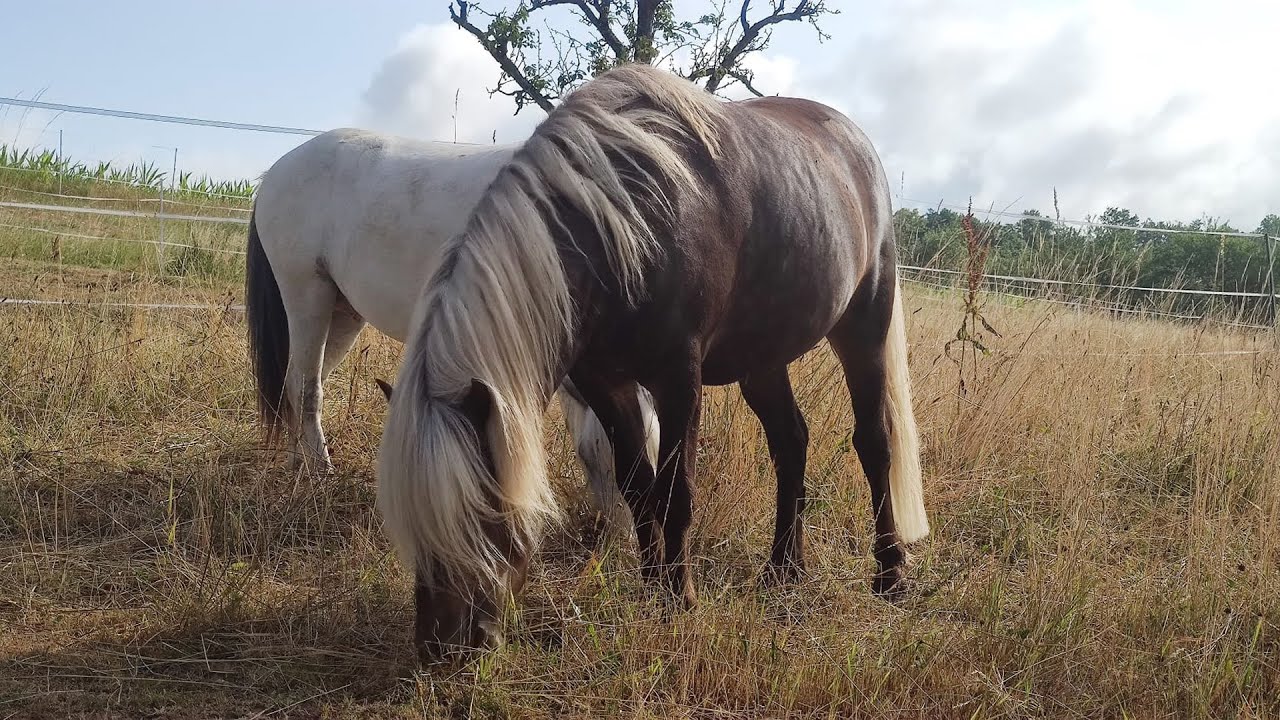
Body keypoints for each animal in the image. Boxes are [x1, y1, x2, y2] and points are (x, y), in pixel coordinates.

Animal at [243, 127, 656, 531]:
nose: (618, 537)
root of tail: (275, 172)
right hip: (307, 296)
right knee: (306, 387)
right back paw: (320, 474)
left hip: (342, 313)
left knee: (296, 384)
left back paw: (298, 464)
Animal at [377, 63, 929, 660]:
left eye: (479, 513)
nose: (440, 648)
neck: (623, 225)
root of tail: (855, 141)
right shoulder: (606, 384)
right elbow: (638, 488)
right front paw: (651, 586)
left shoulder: (678, 379)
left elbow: (676, 490)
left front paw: (679, 596)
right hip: (761, 359)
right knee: (791, 442)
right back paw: (783, 569)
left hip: (864, 326)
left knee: (874, 441)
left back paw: (890, 575)